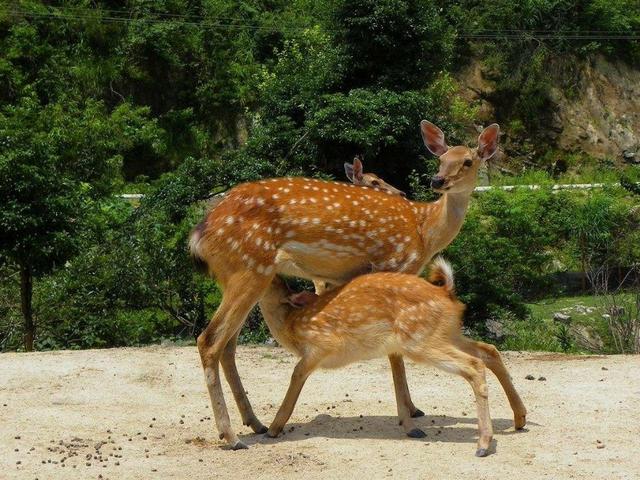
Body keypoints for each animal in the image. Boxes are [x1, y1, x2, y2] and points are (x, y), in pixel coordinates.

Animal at [190, 120, 500, 450]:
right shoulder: (393, 264)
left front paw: (413, 410)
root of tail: (199, 233)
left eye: (467, 161)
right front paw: (410, 418)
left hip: (245, 276)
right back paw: (231, 436)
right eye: (440, 159)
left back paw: (256, 423)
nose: (437, 180)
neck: (424, 232)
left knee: (228, 345)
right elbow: (395, 354)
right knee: (210, 340)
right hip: (249, 268)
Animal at [258, 260, 528, 456]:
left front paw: (273, 429)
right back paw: (519, 419)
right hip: (448, 334)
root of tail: (447, 293)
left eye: (271, 279)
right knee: (489, 351)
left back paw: (483, 444)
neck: (290, 326)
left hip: (421, 340)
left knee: (474, 365)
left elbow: (295, 376)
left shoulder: (319, 348)